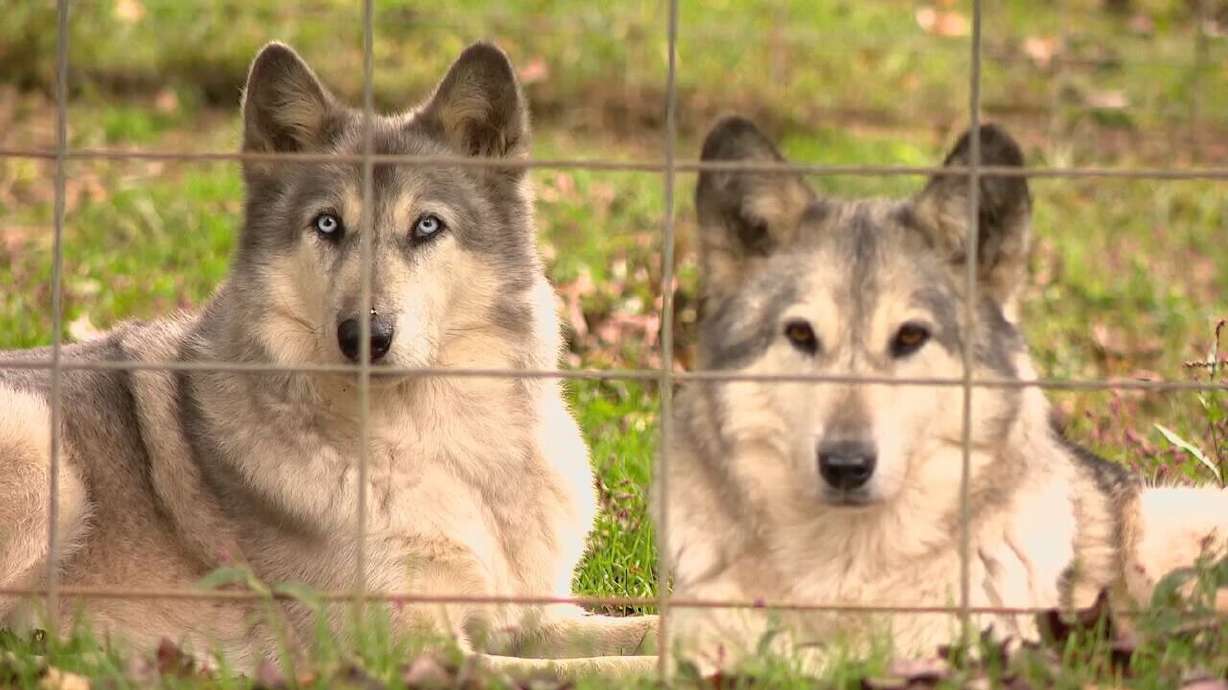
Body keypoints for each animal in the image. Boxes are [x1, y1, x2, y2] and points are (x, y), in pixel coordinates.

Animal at [0, 41, 655, 675]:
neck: (443, 445)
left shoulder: (533, 618)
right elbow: (601, 670)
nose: (363, 336)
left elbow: (640, 632)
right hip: (40, 448)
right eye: (328, 224)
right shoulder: (406, 652)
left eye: (427, 225)